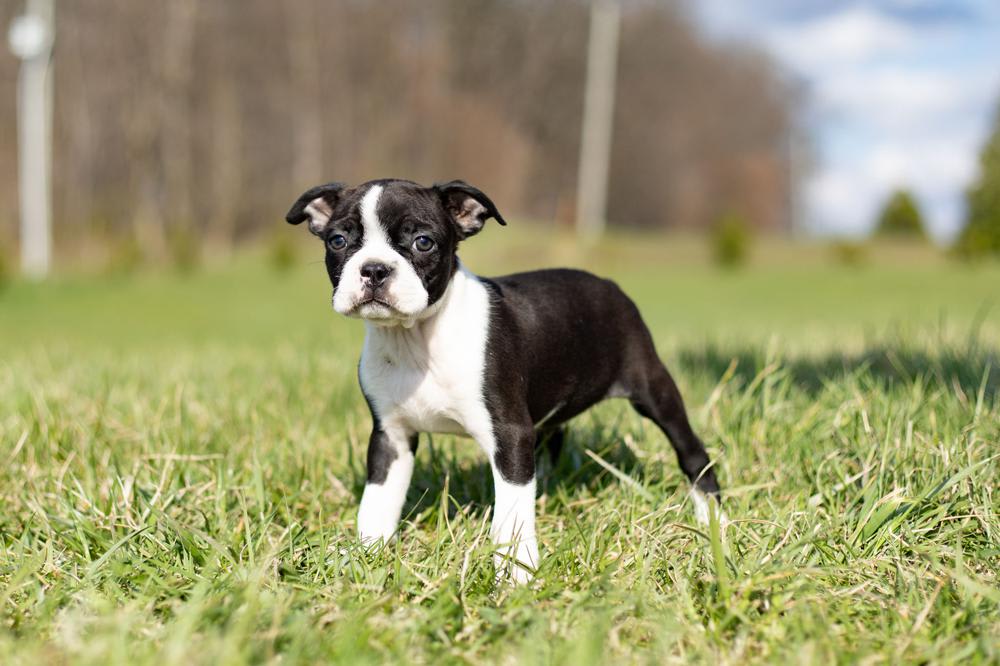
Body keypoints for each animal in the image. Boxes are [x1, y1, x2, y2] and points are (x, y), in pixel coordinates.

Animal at [286, 178, 724, 580]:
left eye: (423, 242)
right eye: (338, 240)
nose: (374, 269)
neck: (415, 338)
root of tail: (608, 284)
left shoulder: (510, 434)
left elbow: (511, 515)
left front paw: (516, 575)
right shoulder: (390, 437)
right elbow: (377, 503)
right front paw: (364, 557)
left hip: (651, 386)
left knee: (691, 452)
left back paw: (713, 520)